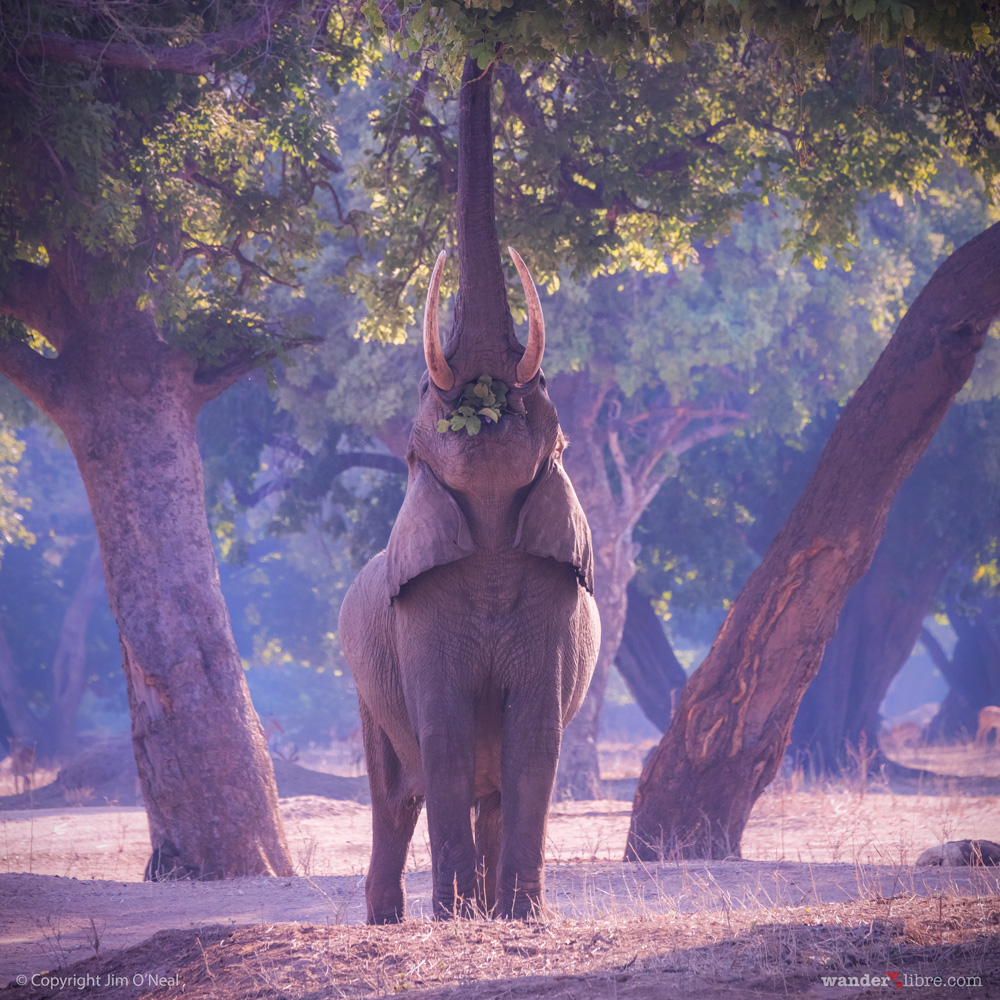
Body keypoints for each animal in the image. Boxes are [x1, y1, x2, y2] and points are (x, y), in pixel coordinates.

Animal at [340, 244, 596, 920]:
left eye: (544, 384)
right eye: (424, 388)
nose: (488, 396)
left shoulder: (555, 607)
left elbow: (533, 736)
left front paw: (522, 919)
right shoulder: (417, 616)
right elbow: (444, 732)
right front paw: (452, 919)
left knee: (494, 794)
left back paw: (490, 910)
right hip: (366, 688)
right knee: (393, 800)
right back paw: (392, 921)